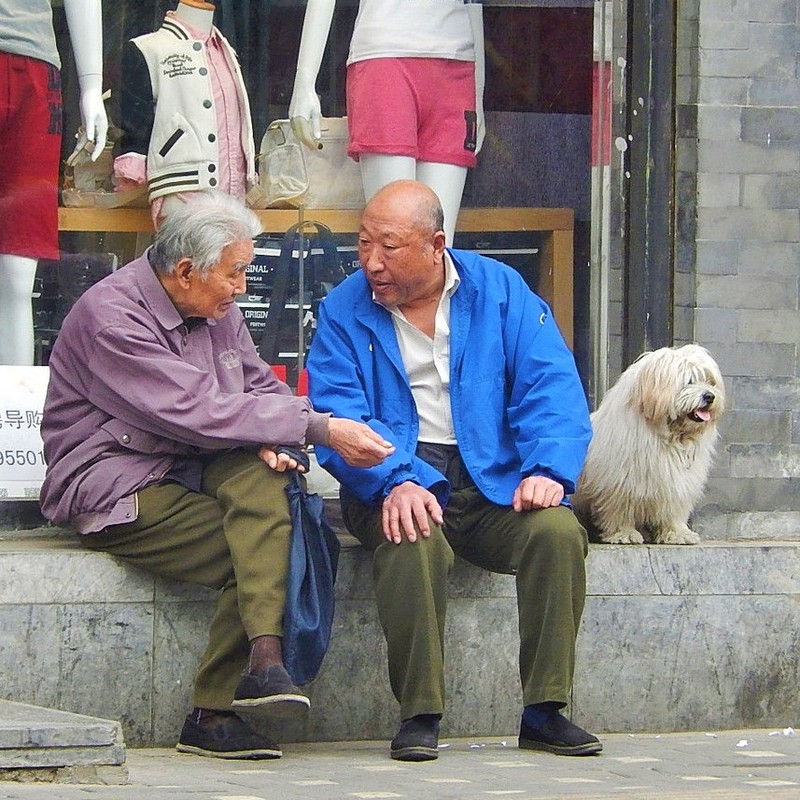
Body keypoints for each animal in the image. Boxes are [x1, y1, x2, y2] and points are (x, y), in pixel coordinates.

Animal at [572, 344, 720, 544]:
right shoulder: (620, 482)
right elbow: (619, 509)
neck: (668, 436)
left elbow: (673, 509)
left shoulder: (677, 482)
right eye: (689, 381)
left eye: (709, 381)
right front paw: (624, 533)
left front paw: (677, 533)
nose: (710, 396)